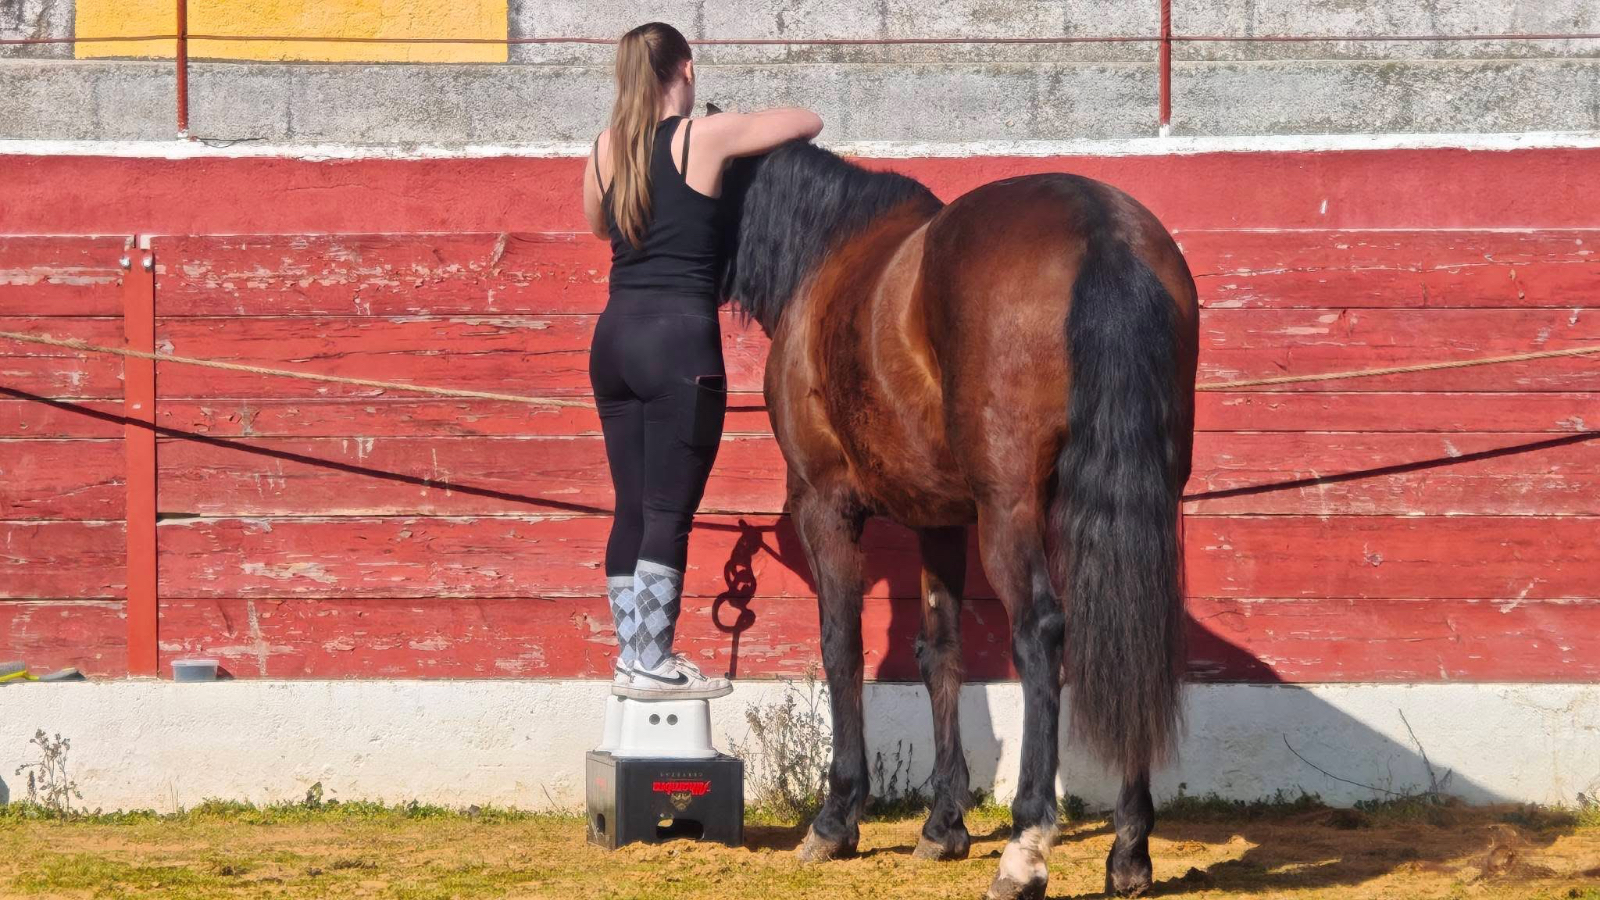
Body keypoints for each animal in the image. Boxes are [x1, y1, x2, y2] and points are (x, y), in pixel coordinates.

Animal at [718, 141, 1199, 899]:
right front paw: (943, 826)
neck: (826, 253)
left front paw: (836, 820)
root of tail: (1104, 230)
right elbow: (939, 651)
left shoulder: (823, 503)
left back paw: (1025, 850)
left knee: (1041, 631)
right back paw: (1128, 853)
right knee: (1131, 628)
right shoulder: (938, 518)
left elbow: (841, 646)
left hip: (1010, 506)